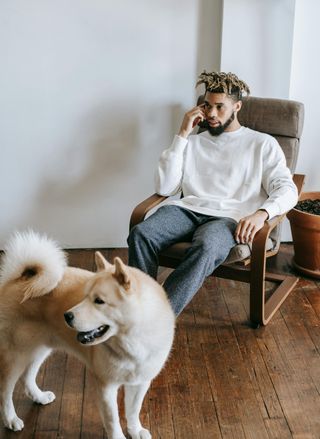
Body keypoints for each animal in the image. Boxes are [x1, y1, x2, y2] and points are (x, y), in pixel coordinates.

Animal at [0, 232, 175, 438]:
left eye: (99, 301)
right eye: (84, 296)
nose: (66, 316)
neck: (132, 342)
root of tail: (18, 279)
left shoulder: (140, 383)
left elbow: (133, 411)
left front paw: (135, 430)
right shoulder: (106, 387)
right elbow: (113, 420)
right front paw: (119, 436)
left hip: (40, 349)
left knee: (27, 377)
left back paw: (39, 396)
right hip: (15, 357)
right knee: (5, 392)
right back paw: (11, 419)